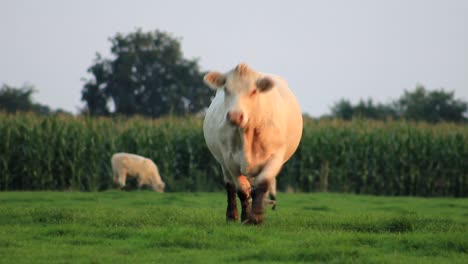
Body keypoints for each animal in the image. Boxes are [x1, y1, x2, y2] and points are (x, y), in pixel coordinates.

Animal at [203, 63, 302, 224]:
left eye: (254, 91)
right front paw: (245, 217)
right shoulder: (229, 160)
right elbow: (242, 190)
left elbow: (262, 185)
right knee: (230, 186)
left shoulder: (276, 157)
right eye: (226, 89)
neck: (247, 134)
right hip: (223, 163)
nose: (235, 115)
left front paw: (256, 217)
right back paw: (232, 216)